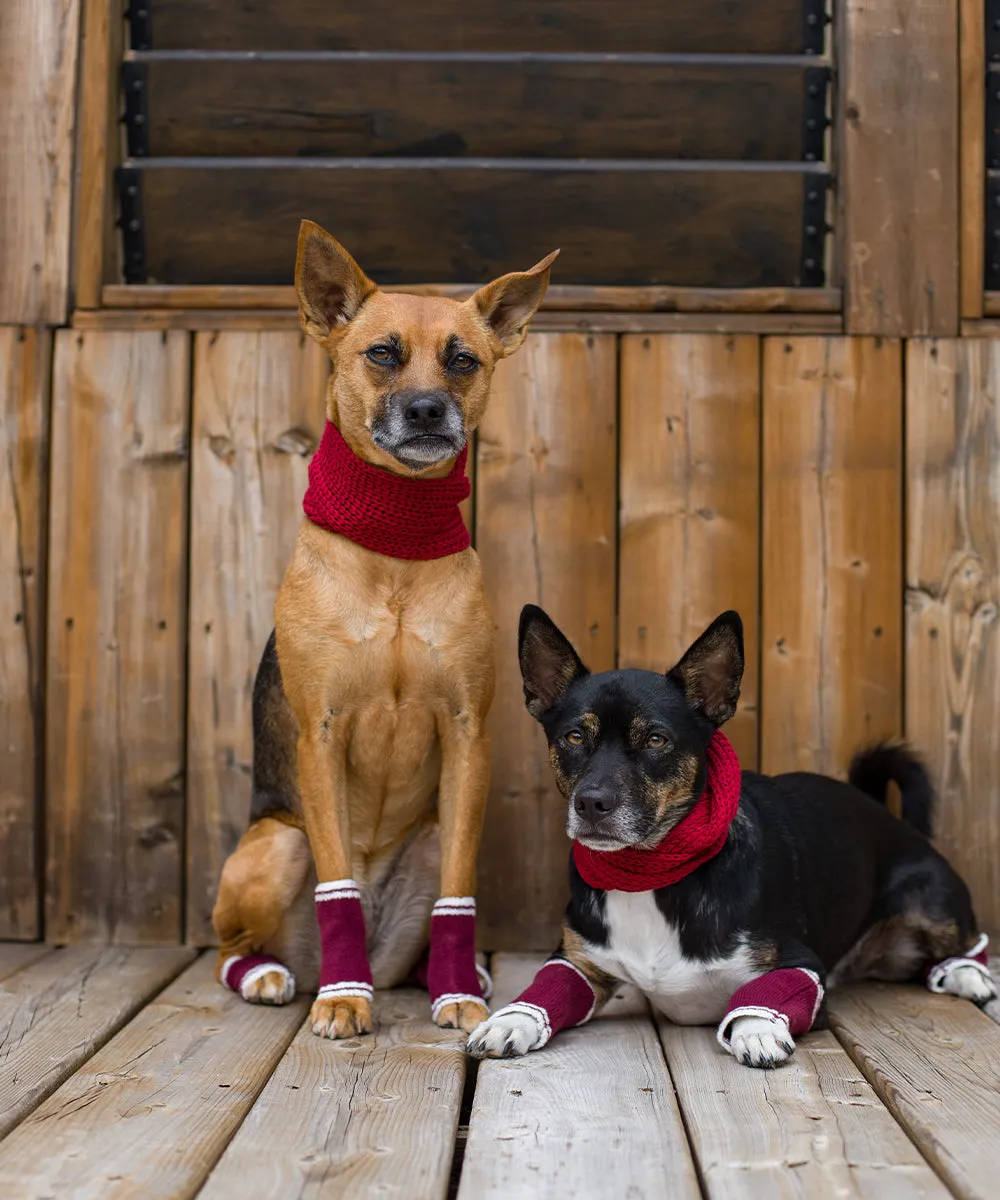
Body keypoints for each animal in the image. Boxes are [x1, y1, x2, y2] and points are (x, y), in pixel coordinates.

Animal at [212, 220, 554, 1036]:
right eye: (382, 353)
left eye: (463, 359)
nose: (428, 409)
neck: (396, 542)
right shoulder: (321, 734)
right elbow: (335, 881)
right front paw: (345, 998)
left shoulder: (466, 736)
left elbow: (459, 893)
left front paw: (458, 990)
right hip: (274, 845)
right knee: (233, 941)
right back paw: (272, 974)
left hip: (424, 840)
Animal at [468, 604, 989, 1065]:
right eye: (574, 737)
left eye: (656, 739)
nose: (591, 804)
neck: (652, 876)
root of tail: (882, 812)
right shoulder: (578, 961)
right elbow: (547, 989)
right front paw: (508, 1021)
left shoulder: (801, 963)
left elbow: (763, 994)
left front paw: (757, 1029)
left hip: (928, 899)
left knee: (967, 943)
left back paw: (969, 977)